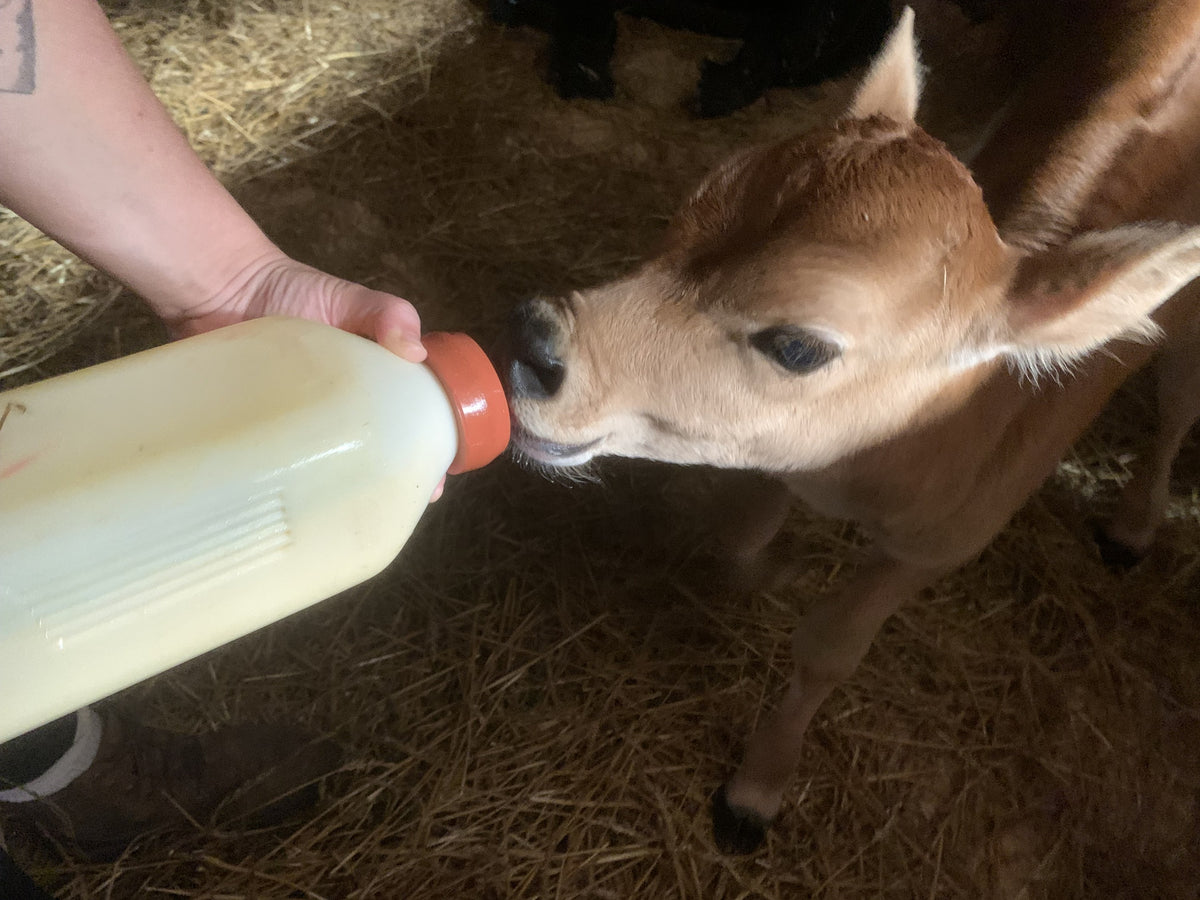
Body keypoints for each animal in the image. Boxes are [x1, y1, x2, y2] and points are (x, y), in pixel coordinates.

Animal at [505, 2, 1200, 853]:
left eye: (799, 346)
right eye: (687, 211)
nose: (536, 341)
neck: (867, 479)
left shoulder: (938, 544)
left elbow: (830, 649)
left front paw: (755, 791)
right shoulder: (775, 452)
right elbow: (737, 537)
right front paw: (763, 576)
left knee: (1179, 402)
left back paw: (1134, 525)